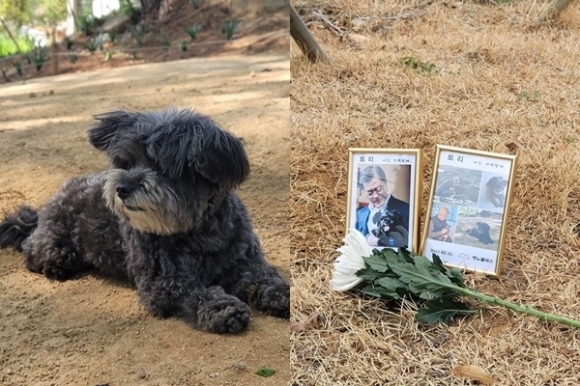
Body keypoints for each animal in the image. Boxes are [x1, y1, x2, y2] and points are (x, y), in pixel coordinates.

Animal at [0, 108, 290, 334]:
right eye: (125, 162)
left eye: (160, 165)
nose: (122, 188)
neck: (199, 231)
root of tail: (43, 210)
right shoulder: (164, 283)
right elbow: (196, 293)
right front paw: (223, 308)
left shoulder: (244, 262)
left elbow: (262, 277)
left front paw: (283, 293)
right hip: (56, 246)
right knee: (33, 250)